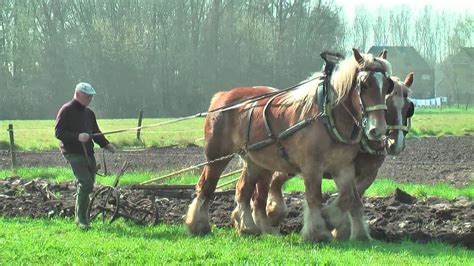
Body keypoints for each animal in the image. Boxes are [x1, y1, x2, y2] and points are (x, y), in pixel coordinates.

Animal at [185, 48, 392, 243]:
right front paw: (317, 232)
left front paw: (333, 221)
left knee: (243, 190)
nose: (378, 130)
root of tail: (222, 96)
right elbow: (314, 197)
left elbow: (350, 197)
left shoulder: (344, 167)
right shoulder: (311, 166)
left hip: (255, 161)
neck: (327, 117)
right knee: (206, 186)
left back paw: (248, 228)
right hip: (216, 156)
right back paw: (199, 225)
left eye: (387, 87)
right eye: (364, 85)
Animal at [262, 72, 416, 239]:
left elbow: (355, 198)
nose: (396, 144)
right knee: (273, 181)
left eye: (409, 108)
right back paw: (271, 213)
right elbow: (353, 200)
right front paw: (337, 227)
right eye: (387, 106)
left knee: (275, 181)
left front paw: (343, 229)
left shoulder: (368, 174)